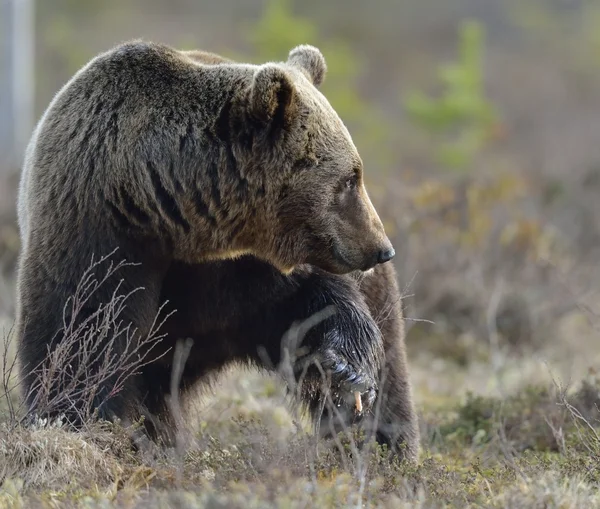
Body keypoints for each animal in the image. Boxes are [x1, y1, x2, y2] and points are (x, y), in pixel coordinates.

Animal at [12, 40, 418, 460]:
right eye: (350, 179)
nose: (382, 249)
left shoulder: (243, 269)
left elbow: (306, 307)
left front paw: (346, 372)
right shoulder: (98, 228)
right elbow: (82, 329)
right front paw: (77, 425)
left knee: (390, 370)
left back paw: (385, 447)